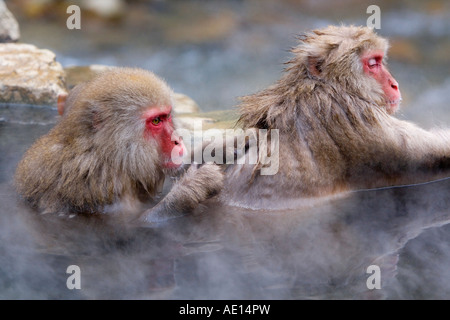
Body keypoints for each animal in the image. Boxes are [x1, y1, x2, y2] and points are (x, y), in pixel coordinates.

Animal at [14, 67, 224, 222]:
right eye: (156, 121)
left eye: (167, 116)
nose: (177, 140)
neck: (109, 156)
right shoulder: (97, 185)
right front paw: (192, 187)